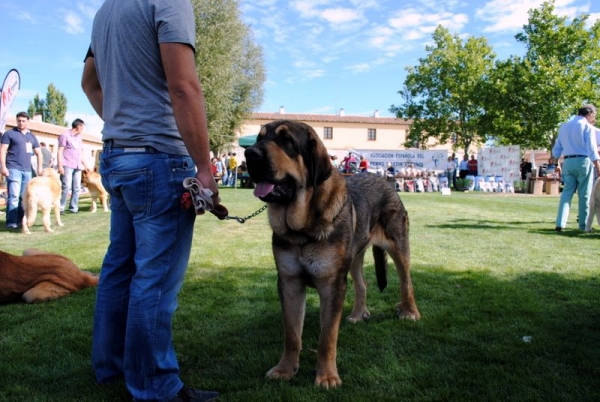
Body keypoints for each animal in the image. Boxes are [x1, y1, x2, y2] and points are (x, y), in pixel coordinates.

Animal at [244, 120, 422, 390]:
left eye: (287, 141)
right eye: (259, 138)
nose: (249, 154)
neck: (302, 228)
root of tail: (384, 180)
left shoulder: (332, 284)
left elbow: (327, 337)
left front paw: (327, 376)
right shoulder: (290, 283)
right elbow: (292, 334)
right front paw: (285, 369)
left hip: (399, 247)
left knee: (406, 282)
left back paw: (409, 312)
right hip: (355, 258)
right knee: (362, 284)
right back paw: (358, 315)